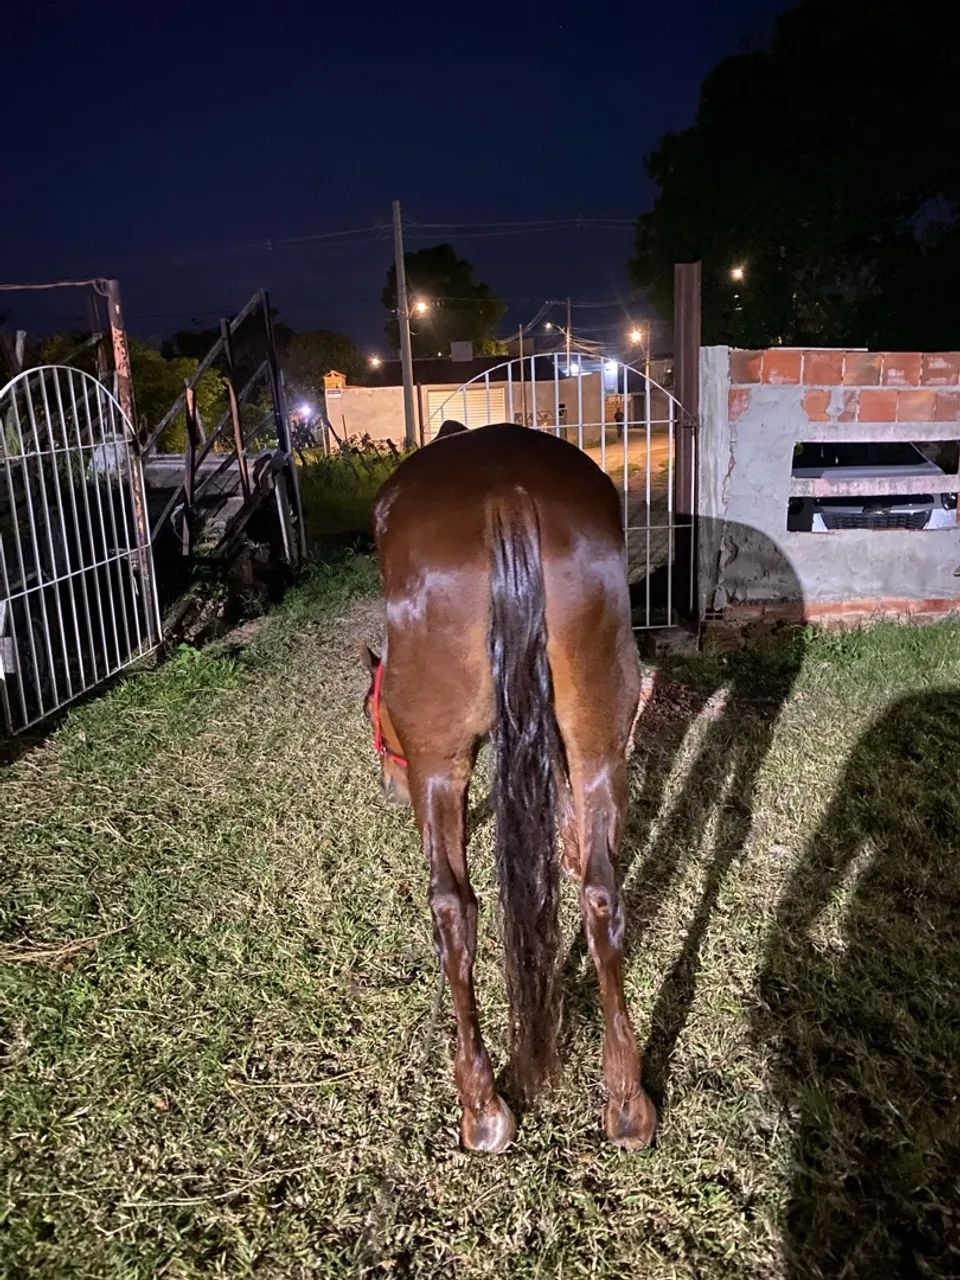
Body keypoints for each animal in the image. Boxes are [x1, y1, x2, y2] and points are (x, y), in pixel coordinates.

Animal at [359, 421, 655, 1153]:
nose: (387, 782)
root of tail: (505, 495)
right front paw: (570, 845)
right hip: (597, 721)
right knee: (600, 895)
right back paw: (627, 1100)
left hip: (438, 760)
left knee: (450, 906)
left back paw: (482, 1107)